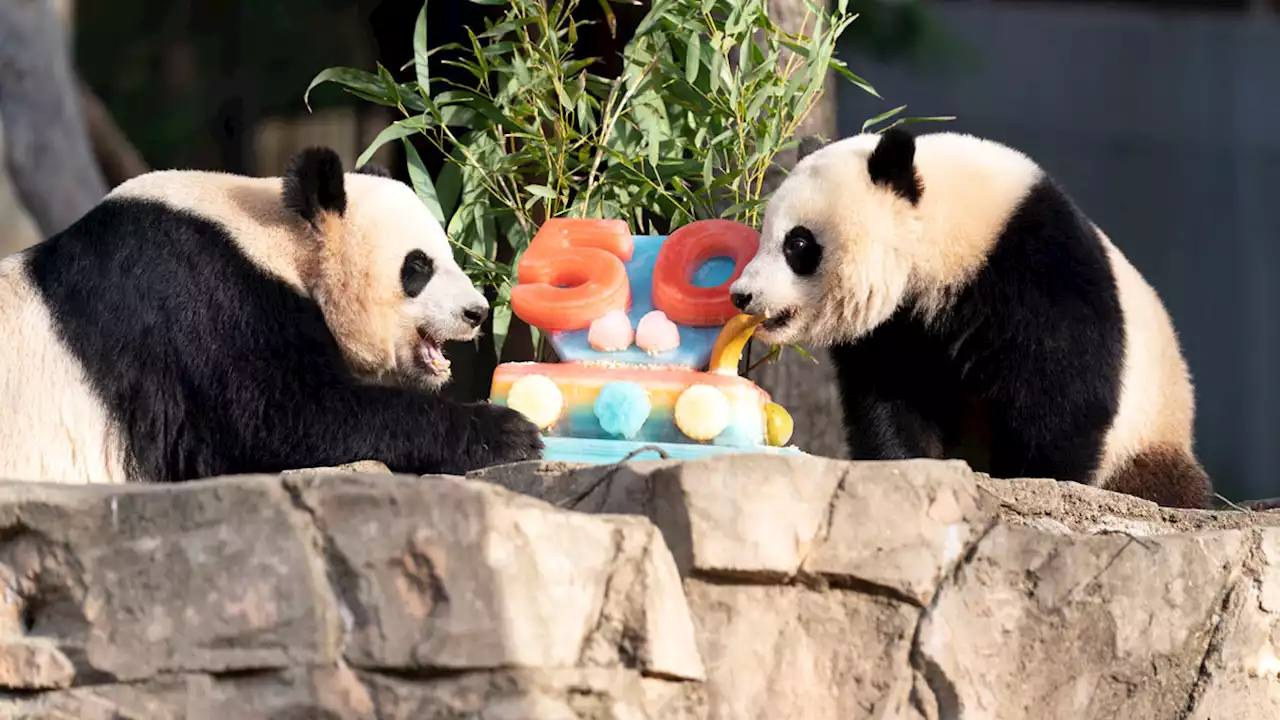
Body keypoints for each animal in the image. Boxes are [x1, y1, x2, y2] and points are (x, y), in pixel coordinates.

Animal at [0, 144, 545, 481]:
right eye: (418, 267)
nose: (477, 312)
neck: (274, 235)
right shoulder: (197, 299)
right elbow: (280, 420)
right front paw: (509, 432)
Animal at [732, 130, 1208, 509]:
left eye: (798, 243)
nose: (742, 295)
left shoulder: (1037, 269)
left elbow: (1064, 396)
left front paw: (1037, 481)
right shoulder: (897, 327)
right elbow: (891, 396)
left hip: (1150, 432)